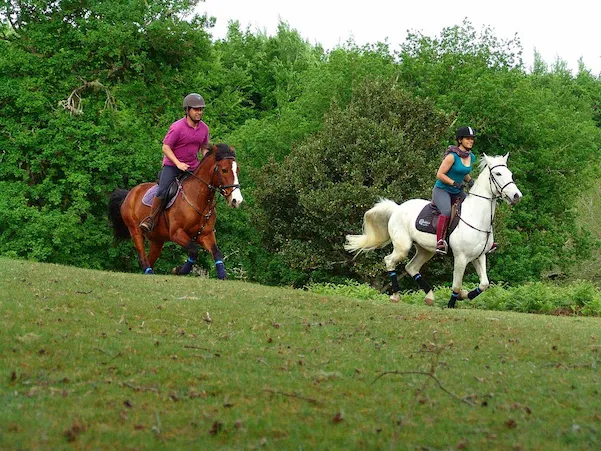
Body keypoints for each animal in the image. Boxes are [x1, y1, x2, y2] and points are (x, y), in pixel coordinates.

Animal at [108, 145, 241, 278]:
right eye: (224, 170)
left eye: (237, 170)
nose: (237, 200)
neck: (198, 199)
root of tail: (130, 193)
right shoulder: (176, 233)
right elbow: (194, 250)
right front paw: (178, 270)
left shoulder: (205, 235)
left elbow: (216, 253)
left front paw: (222, 275)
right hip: (135, 230)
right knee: (142, 257)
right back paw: (149, 271)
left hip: (157, 240)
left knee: (151, 258)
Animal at [344, 154, 524, 308]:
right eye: (498, 173)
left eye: (510, 174)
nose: (516, 196)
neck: (476, 216)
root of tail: (397, 208)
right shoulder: (461, 258)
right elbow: (456, 285)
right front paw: (452, 303)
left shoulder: (479, 256)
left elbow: (484, 284)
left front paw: (464, 295)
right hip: (403, 247)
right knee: (389, 261)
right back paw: (395, 296)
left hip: (426, 250)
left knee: (411, 268)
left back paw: (429, 296)